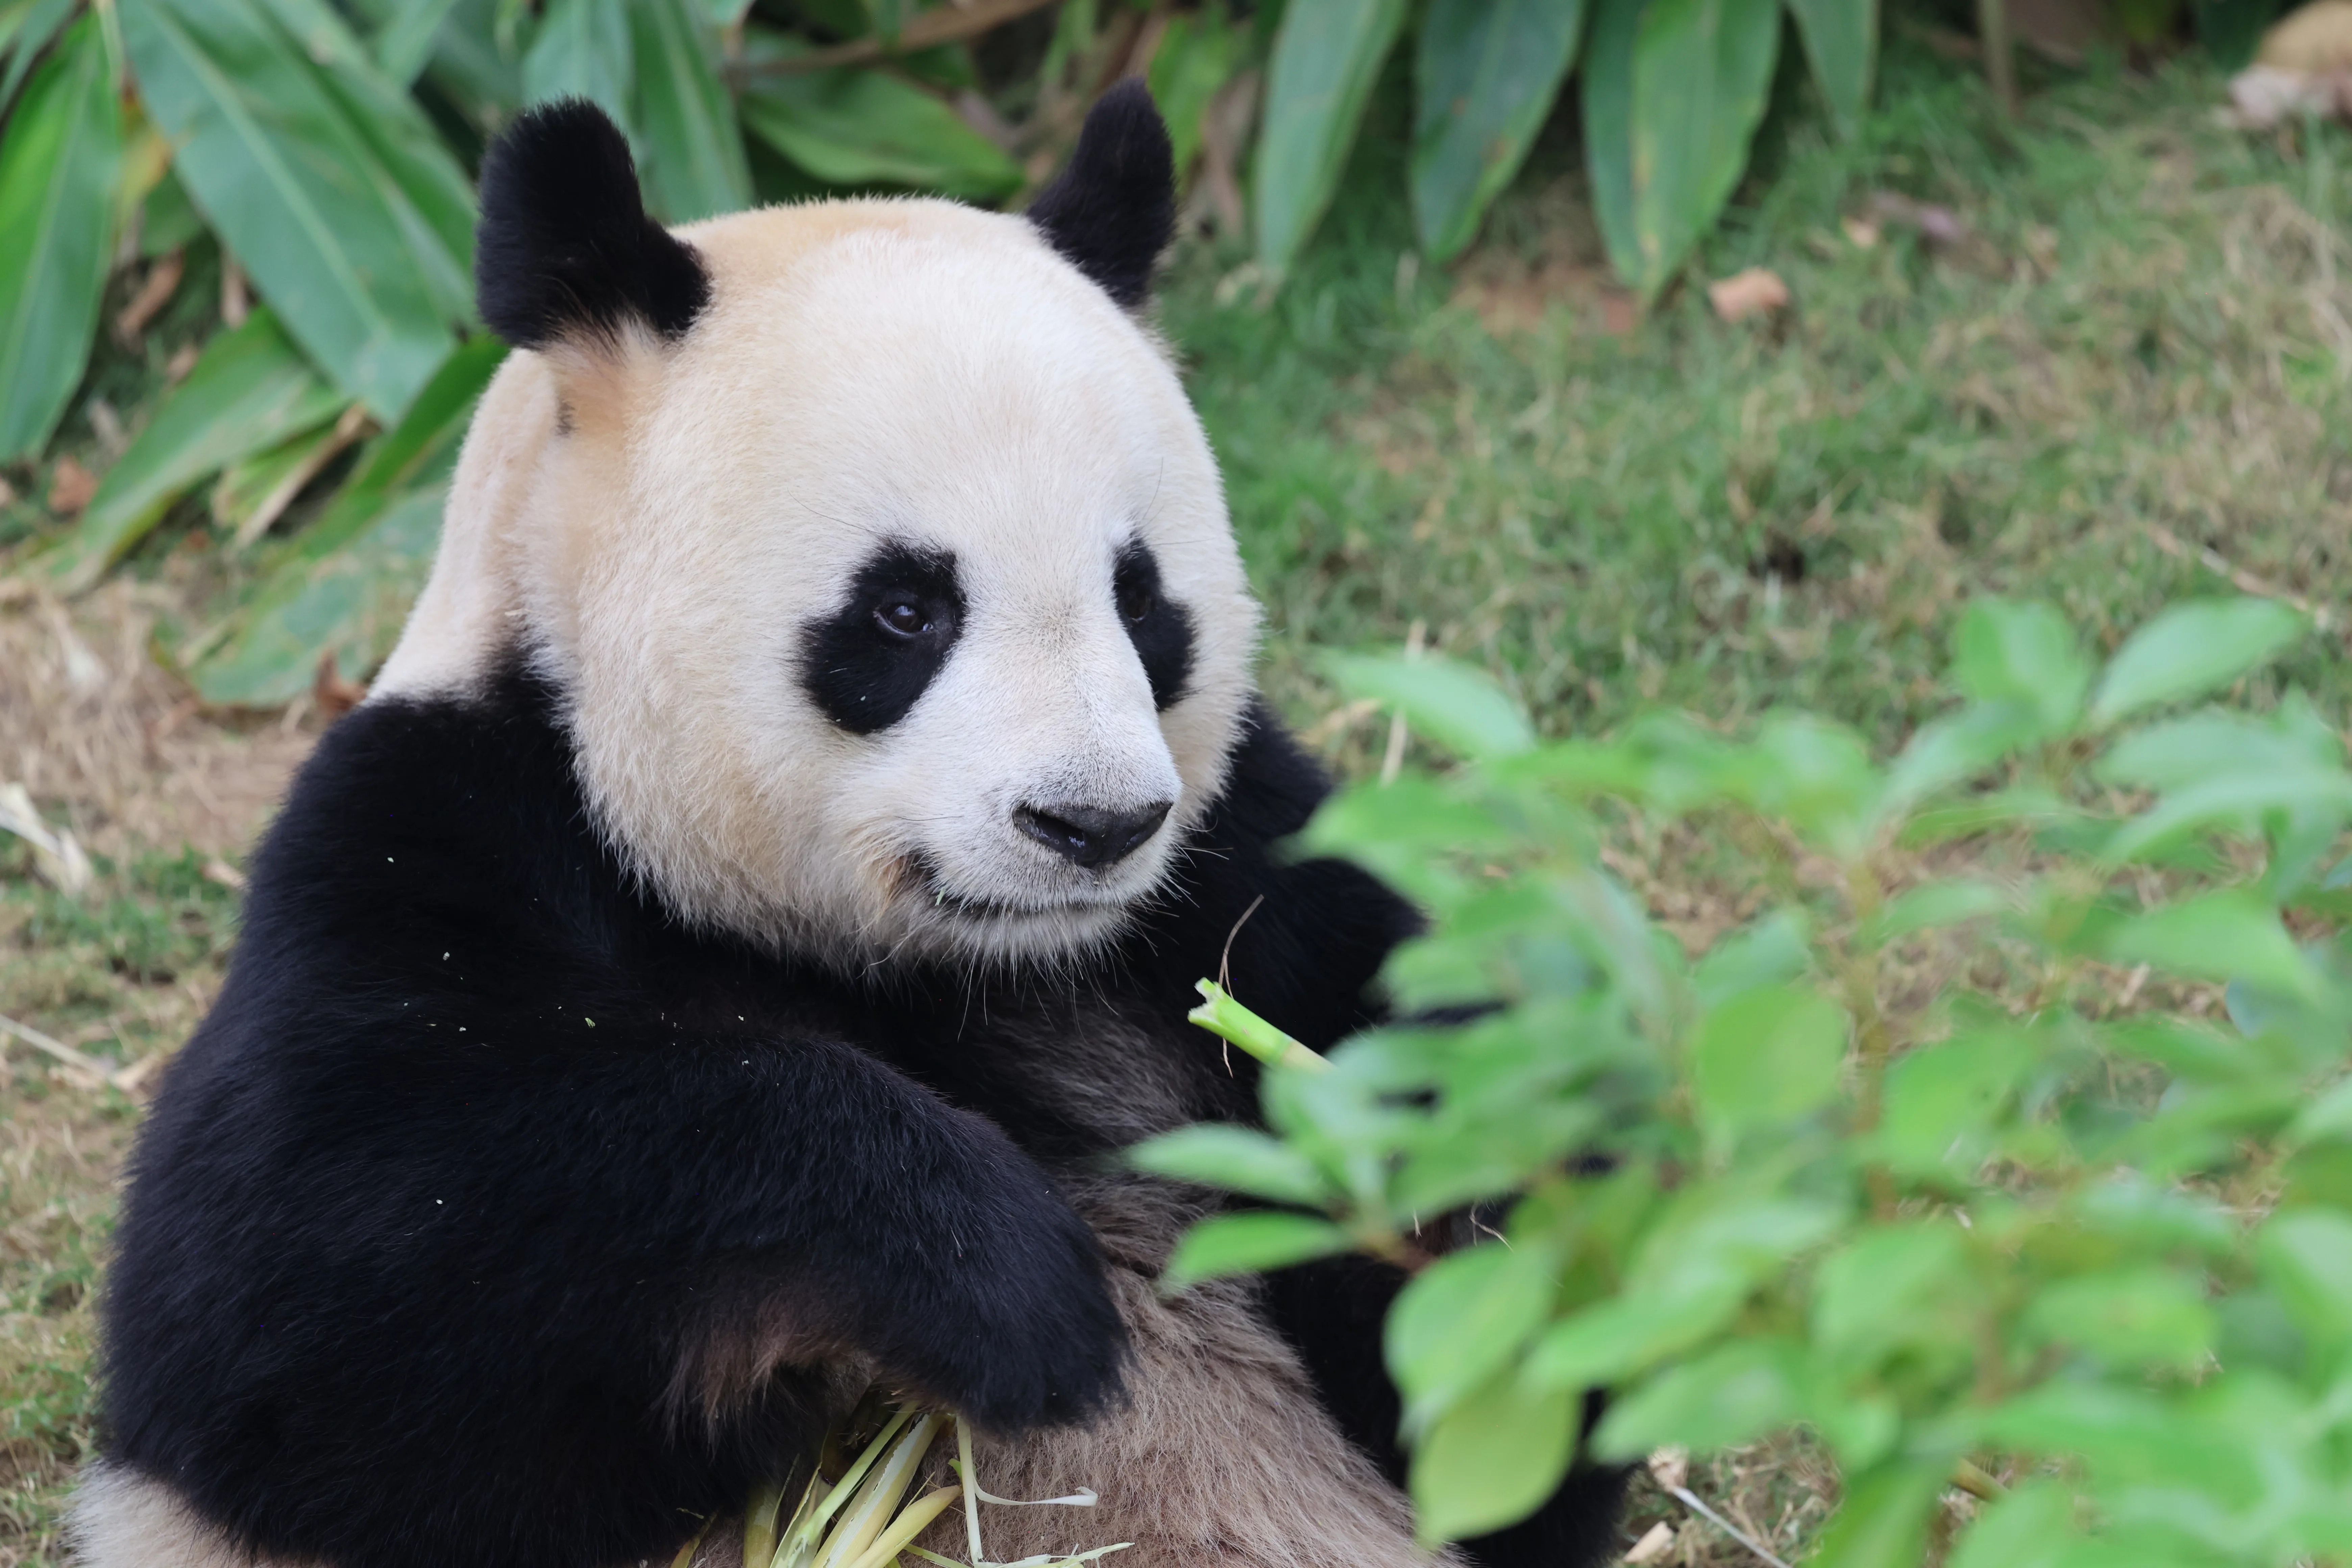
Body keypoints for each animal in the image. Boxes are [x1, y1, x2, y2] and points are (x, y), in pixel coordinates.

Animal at [75, 85, 1628, 1568]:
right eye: (902, 609)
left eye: (1140, 597)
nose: (1095, 823)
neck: (934, 967)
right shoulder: (446, 819)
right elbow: (298, 1273)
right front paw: (1009, 1284)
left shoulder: (1235, 862)